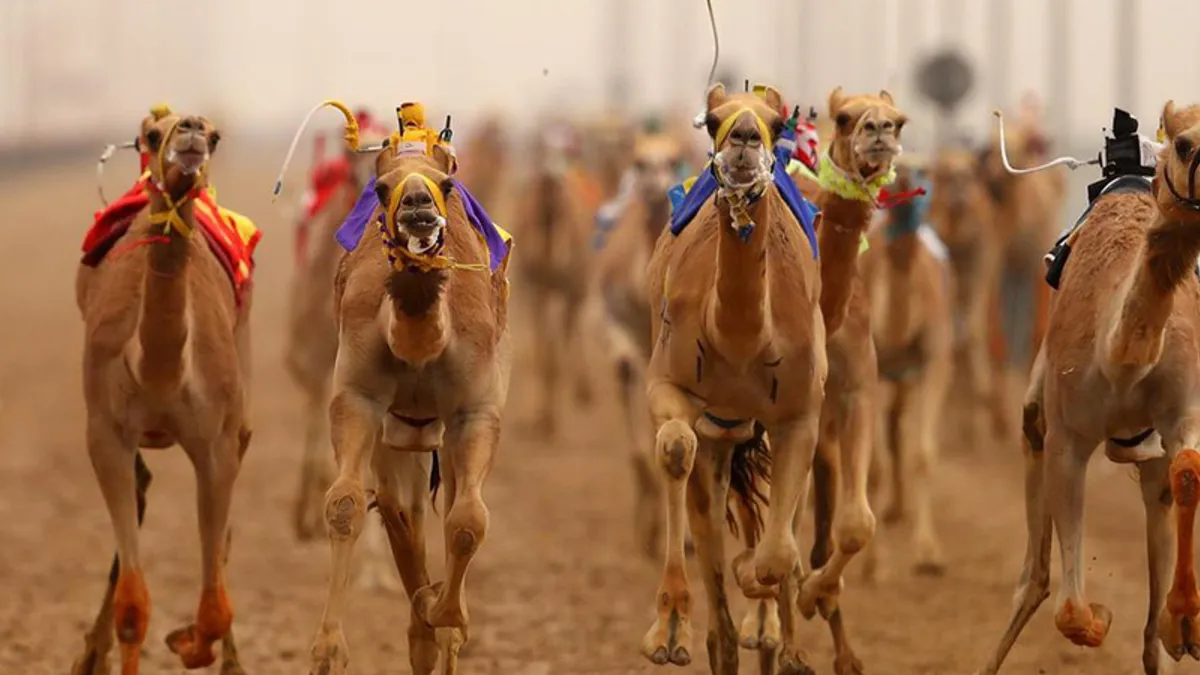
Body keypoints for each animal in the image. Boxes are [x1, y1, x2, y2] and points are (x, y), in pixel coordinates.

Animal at [72, 107, 253, 674]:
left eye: (215, 136)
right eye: (151, 135)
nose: (191, 129)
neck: (160, 372)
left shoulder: (216, 442)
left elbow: (216, 606)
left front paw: (187, 641)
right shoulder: (106, 432)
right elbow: (133, 605)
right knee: (143, 486)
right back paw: (91, 656)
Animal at [305, 112, 513, 675]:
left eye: (446, 184)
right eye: (380, 189)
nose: (418, 206)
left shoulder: (474, 411)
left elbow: (467, 522)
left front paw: (449, 614)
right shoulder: (357, 397)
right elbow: (345, 505)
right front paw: (327, 650)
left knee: (444, 514)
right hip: (399, 439)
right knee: (404, 517)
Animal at [640, 81, 828, 675]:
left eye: (776, 121)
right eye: (713, 117)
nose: (744, 135)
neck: (743, 339)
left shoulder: (799, 414)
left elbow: (776, 555)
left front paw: (764, 595)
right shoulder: (668, 383)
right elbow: (675, 448)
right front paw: (667, 630)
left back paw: (778, 635)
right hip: (721, 437)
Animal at [975, 101, 1200, 675]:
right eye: (1184, 143)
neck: (1121, 354)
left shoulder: (1180, 415)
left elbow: (1187, 470)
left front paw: (1183, 625)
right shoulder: (1068, 436)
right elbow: (1071, 611)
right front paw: (1101, 616)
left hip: (1145, 459)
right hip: (1042, 416)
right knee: (1034, 578)